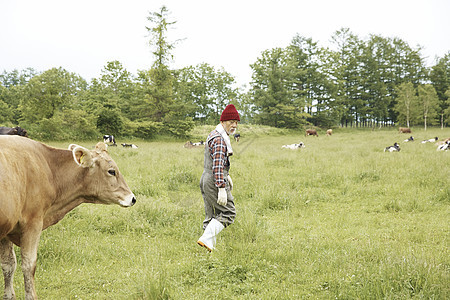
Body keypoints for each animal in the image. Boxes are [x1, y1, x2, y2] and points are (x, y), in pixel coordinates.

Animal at [0, 137, 136, 300]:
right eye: (112, 171)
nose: (132, 198)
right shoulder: (33, 222)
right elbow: (28, 265)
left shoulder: (7, 231)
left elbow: (8, 265)